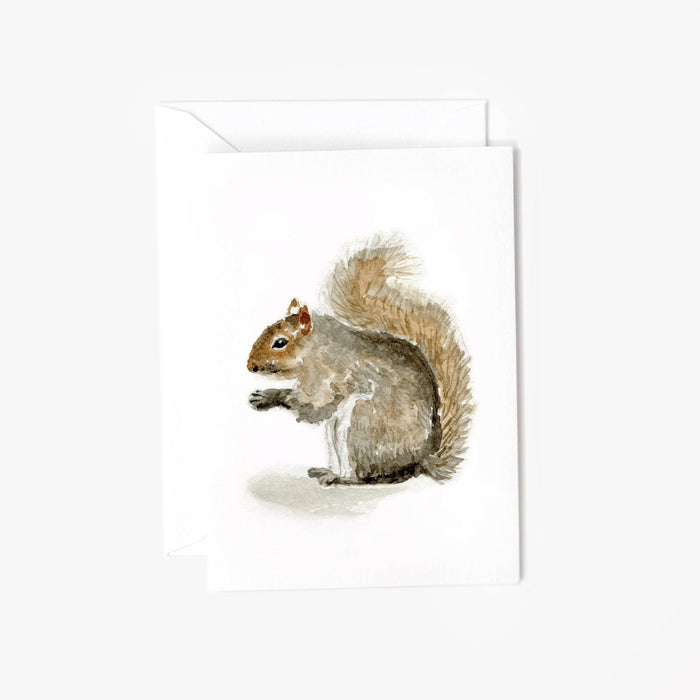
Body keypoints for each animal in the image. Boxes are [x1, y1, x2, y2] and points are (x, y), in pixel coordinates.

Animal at [247, 236, 474, 486]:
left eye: (280, 342)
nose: (250, 365)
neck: (316, 349)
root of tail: (422, 459)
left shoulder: (327, 378)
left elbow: (312, 407)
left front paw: (269, 396)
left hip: (361, 425)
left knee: (361, 477)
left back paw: (335, 477)